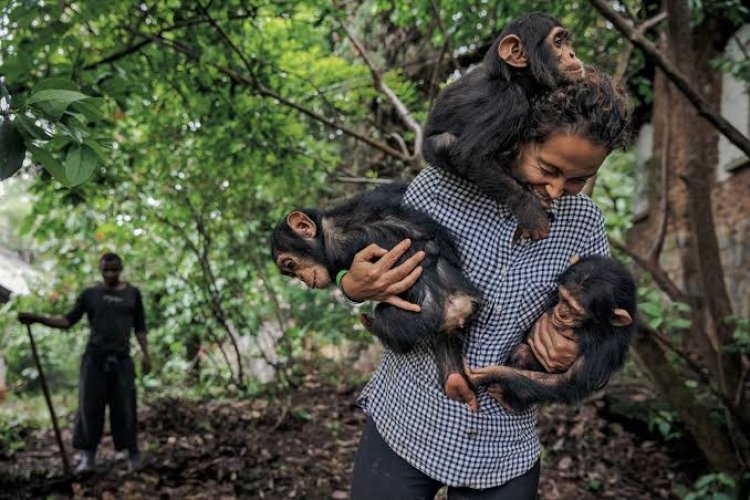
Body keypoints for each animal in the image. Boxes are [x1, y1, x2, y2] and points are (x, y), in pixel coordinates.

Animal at [274, 184, 484, 410]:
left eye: (291, 264)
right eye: (290, 273)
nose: (302, 278)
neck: (325, 230)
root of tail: (459, 304)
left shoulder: (339, 248)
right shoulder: (377, 196)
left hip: (420, 319)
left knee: (388, 318)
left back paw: (371, 322)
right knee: (446, 339)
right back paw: (456, 382)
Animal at [424, 10, 588, 239]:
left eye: (566, 41)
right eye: (557, 42)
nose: (572, 54)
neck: (516, 79)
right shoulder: (509, 103)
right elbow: (470, 155)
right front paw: (530, 210)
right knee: (446, 142)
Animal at [468, 256, 636, 412]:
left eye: (576, 312)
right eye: (563, 298)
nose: (562, 312)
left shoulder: (607, 346)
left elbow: (566, 382)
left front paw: (488, 374)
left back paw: (511, 401)